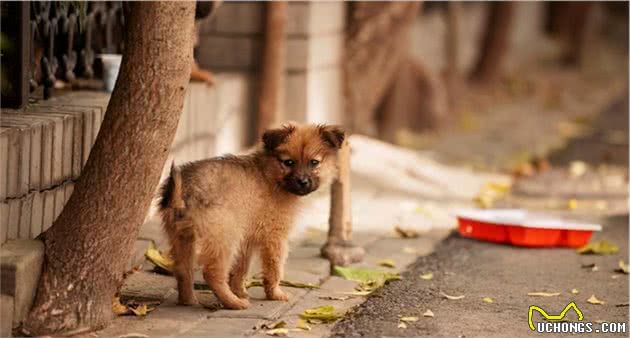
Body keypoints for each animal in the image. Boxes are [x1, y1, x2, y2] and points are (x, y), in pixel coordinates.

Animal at [159, 123, 346, 308]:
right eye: (288, 162)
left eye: (314, 162)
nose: (303, 182)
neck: (270, 175)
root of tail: (184, 189)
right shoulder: (275, 237)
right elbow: (274, 269)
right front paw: (274, 294)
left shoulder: (247, 240)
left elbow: (241, 269)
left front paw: (240, 291)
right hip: (225, 238)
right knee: (212, 273)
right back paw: (234, 303)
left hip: (182, 237)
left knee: (183, 271)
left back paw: (188, 300)